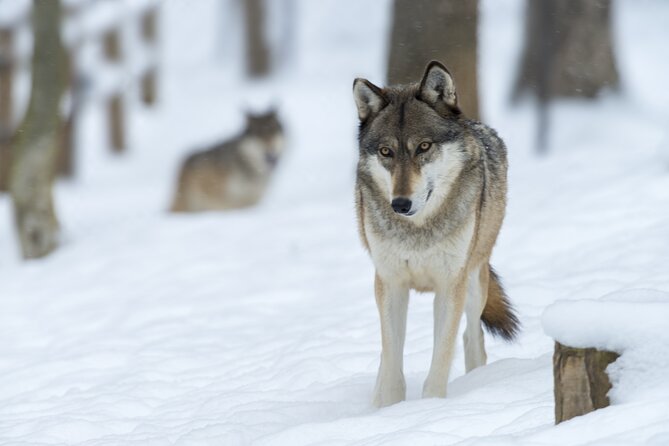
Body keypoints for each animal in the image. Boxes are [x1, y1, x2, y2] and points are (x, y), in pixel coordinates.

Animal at [353, 61, 519, 407]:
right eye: (386, 152)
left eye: (424, 147)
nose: (400, 204)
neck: (417, 232)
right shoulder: (390, 283)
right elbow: (391, 361)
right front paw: (388, 409)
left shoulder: (449, 284)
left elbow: (441, 359)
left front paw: (430, 408)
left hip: (474, 279)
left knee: (472, 337)